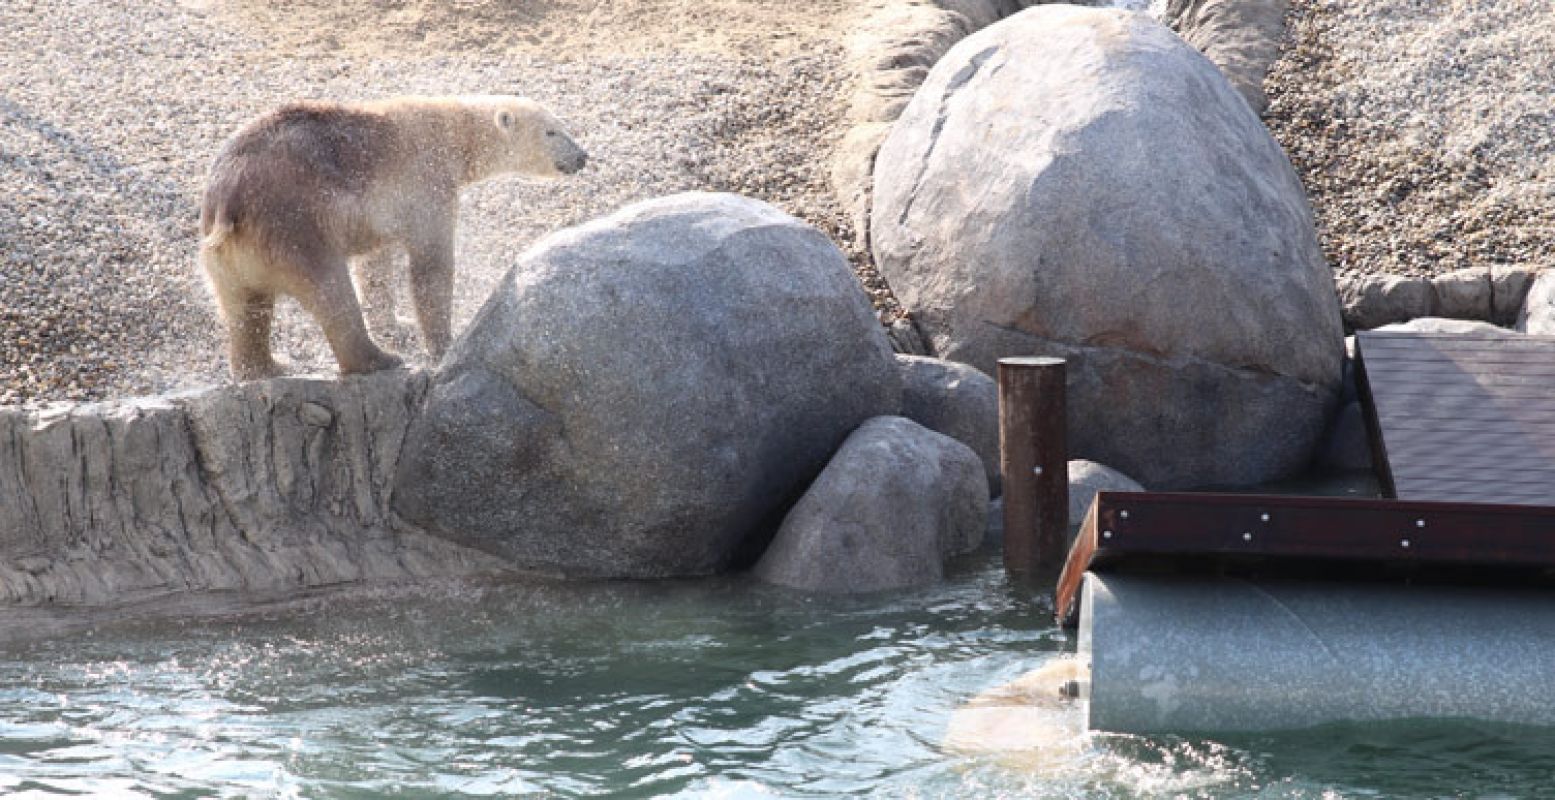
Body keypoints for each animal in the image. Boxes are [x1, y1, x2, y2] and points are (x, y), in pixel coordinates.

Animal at [194, 93, 584, 379]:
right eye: (552, 131)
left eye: (565, 126)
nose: (582, 156)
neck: (453, 134)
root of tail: (228, 198)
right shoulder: (426, 178)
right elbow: (430, 264)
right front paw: (444, 344)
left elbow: (375, 265)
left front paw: (398, 325)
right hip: (294, 224)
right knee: (329, 289)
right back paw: (379, 360)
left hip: (230, 253)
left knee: (244, 307)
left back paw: (267, 366)